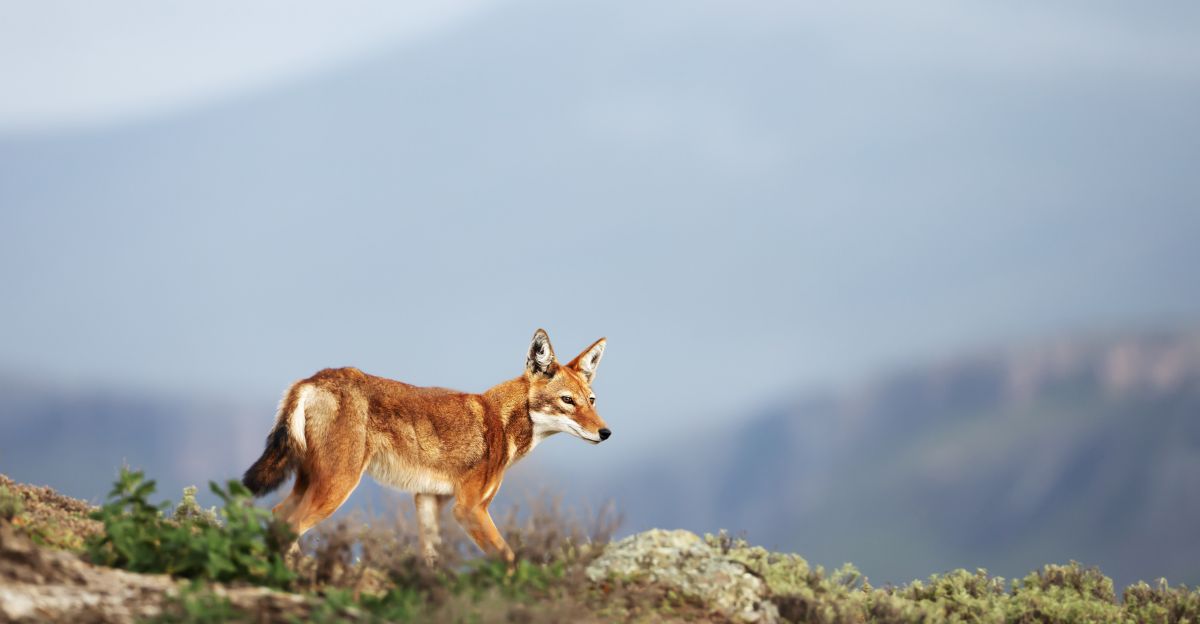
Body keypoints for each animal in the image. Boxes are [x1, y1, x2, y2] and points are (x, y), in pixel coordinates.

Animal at [241, 329, 609, 566]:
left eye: (591, 401)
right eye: (567, 401)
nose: (606, 432)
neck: (502, 422)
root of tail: (311, 380)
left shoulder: (428, 500)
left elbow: (432, 562)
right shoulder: (469, 509)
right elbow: (508, 558)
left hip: (311, 484)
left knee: (277, 517)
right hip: (337, 487)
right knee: (289, 526)